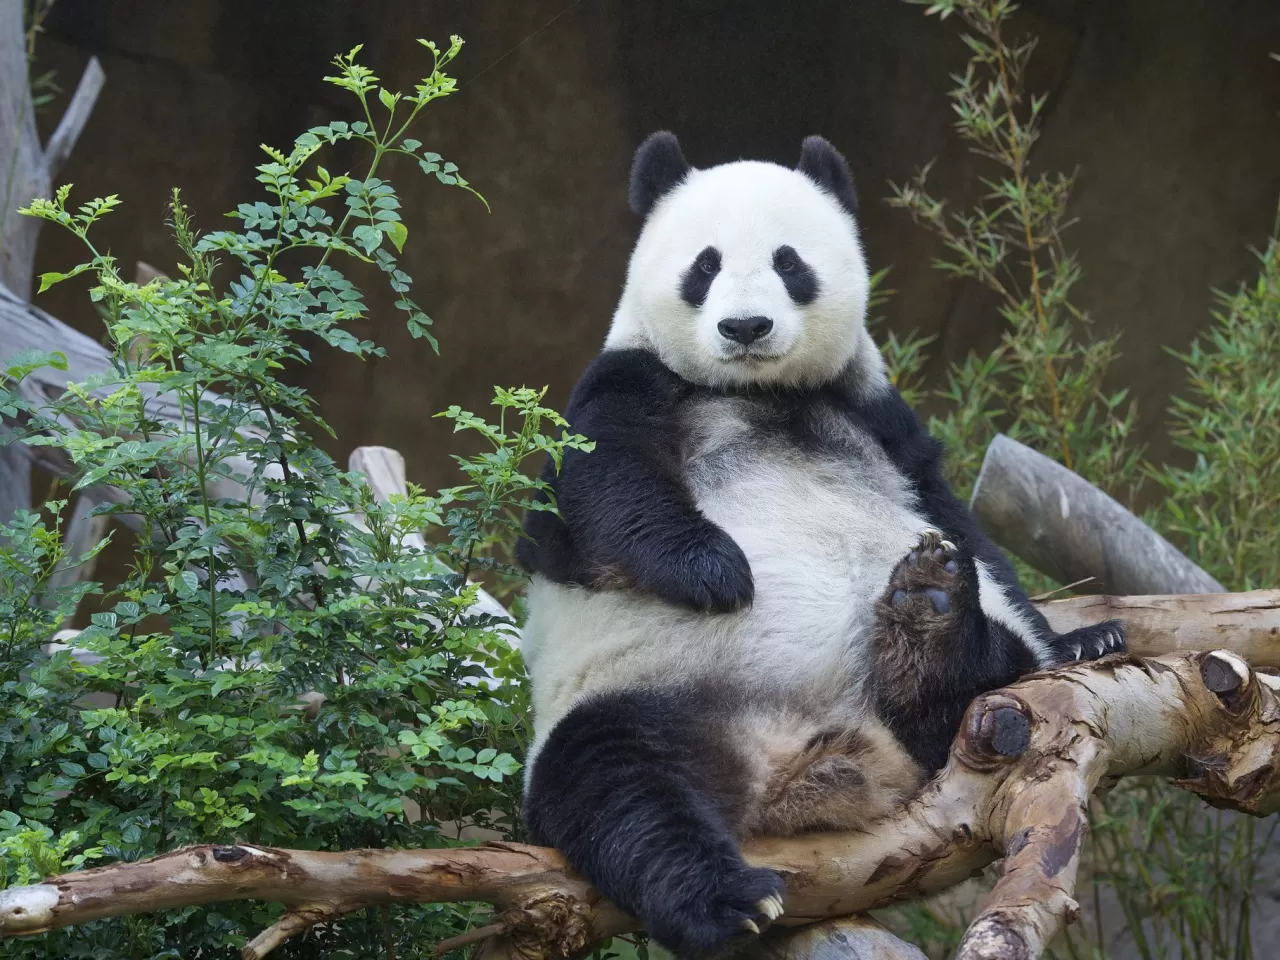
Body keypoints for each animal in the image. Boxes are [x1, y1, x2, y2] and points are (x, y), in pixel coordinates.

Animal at [515, 132, 1125, 959]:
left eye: (788, 262)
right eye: (704, 265)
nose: (745, 328)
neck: (762, 393)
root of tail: (800, 762)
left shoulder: (876, 412)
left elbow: (961, 527)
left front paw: (1080, 637)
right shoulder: (630, 379)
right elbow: (597, 484)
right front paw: (715, 570)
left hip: (974, 713)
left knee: (988, 677)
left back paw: (929, 626)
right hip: (634, 695)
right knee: (616, 788)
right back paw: (726, 901)